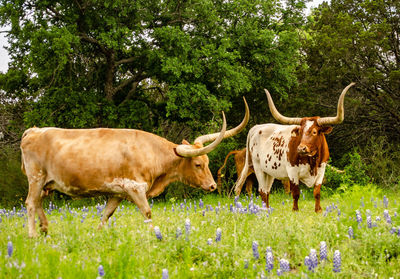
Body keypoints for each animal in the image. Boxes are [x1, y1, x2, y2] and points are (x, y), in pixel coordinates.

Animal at [21, 98, 250, 238]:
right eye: (198, 164)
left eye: (208, 162)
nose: (212, 186)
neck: (152, 153)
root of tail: (33, 130)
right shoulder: (135, 188)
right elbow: (147, 212)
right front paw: (155, 235)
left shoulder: (117, 193)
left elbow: (106, 214)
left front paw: (98, 232)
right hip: (36, 178)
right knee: (30, 203)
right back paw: (33, 234)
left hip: (45, 183)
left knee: (38, 202)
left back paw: (45, 228)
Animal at [234, 83, 356, 212]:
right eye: (300, 132)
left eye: (314, 132)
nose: (301, 149)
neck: (312, 160)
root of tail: (255, 128)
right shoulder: (292, 172)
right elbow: (296, 193)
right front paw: (295, 210)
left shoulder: (321, 170)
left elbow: (317, 192)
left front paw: (318, 210)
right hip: (258, 168)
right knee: (262, 191)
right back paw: (264, 211)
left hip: (269, 171)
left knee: (266, 192)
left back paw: (267, 210)